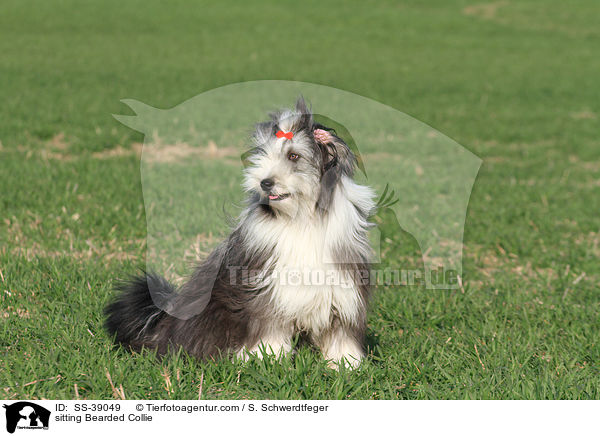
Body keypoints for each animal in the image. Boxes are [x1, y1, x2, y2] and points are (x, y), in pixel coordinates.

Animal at [103, 98, 376, 368]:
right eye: (264, 156)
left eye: (293, 155)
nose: (265, 182)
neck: (302, 218)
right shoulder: (265, 288)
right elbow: (268, 326)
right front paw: (268, 358)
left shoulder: (343, 286)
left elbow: (341, 331)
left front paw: (345, 362)